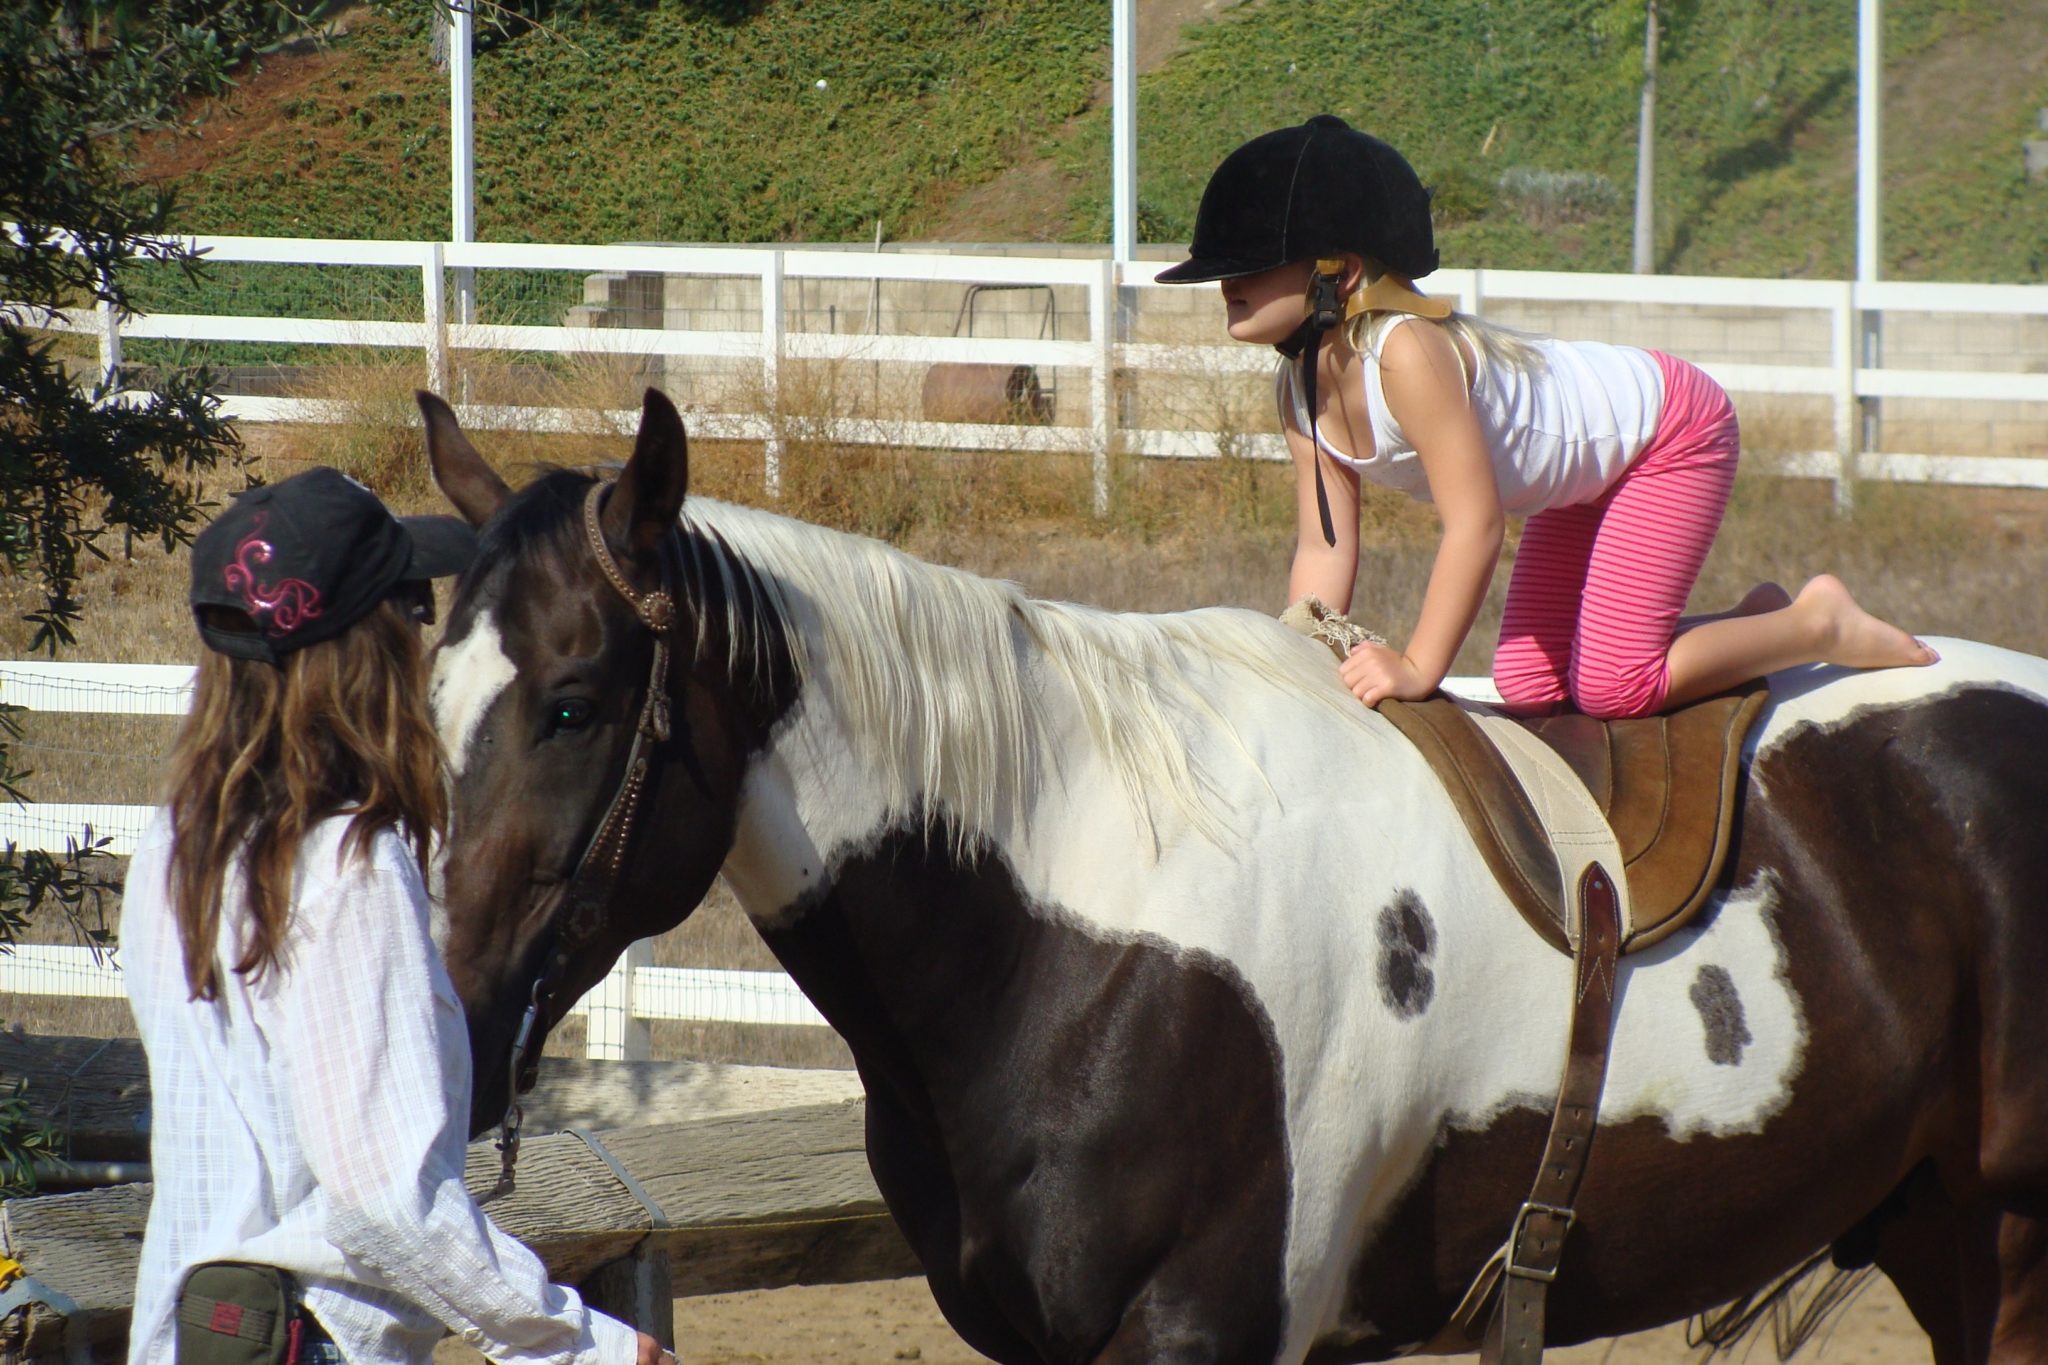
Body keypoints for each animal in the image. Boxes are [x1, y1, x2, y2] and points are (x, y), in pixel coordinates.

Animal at [415, 388, 2048, 1358]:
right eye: (430, 699)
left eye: (571, 705)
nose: (457, 1037)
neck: (1074, 919)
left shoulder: (1205, 1326)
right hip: (1937, 1224)